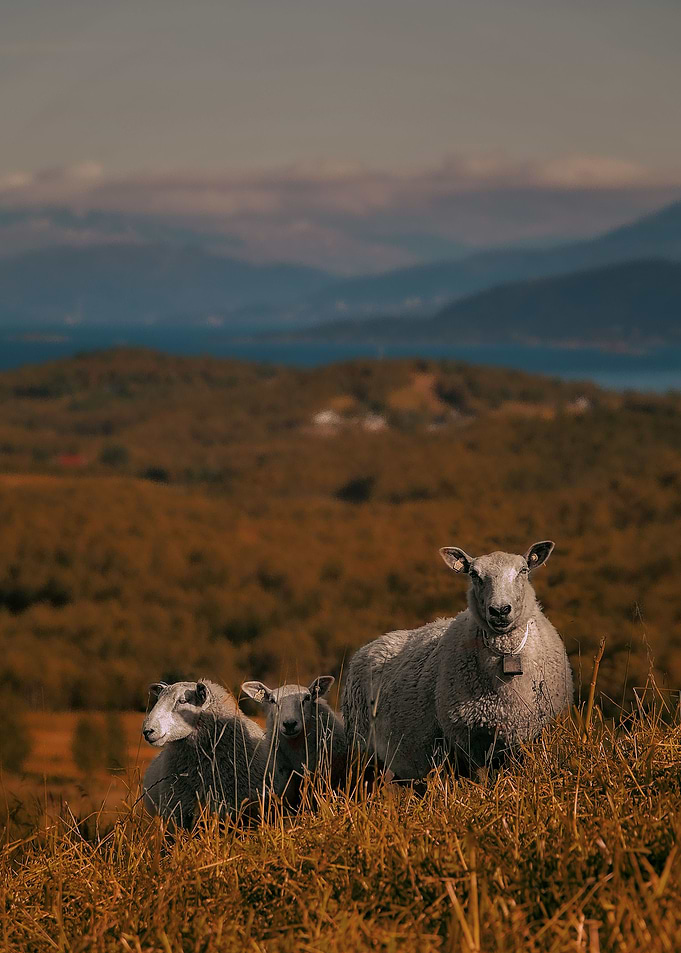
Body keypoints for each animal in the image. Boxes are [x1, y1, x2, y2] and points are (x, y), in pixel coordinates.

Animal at [342, 541, 574, 779]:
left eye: (523, 570)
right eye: (474, 574)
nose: (500, 610)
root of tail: (369, 646)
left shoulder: (529, 735)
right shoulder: (467, 740)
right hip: (363, 749)